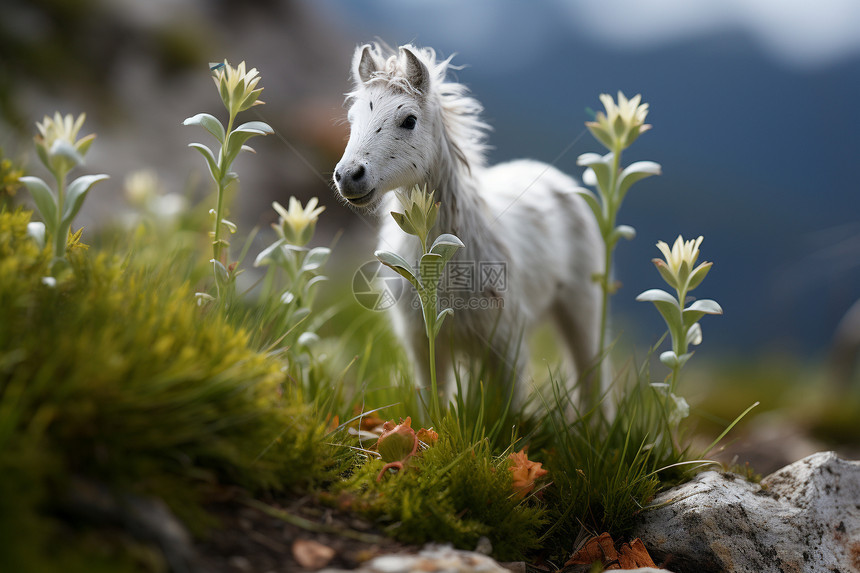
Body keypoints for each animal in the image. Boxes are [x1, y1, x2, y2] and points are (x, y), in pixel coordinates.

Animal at [334, 42, 604, 404]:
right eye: (352, 118)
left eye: (409, 120)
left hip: (583, 306)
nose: (349, 175)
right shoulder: (424, 345)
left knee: (592, 377)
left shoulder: (508, 345)